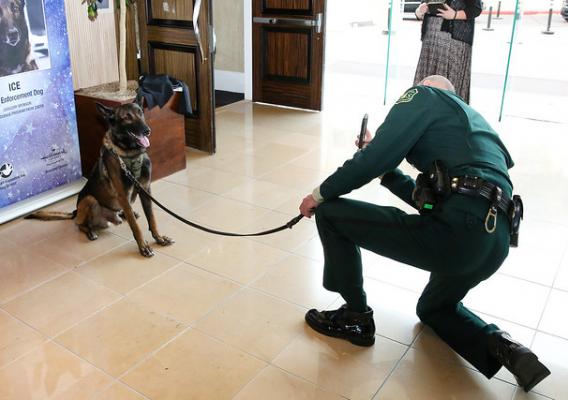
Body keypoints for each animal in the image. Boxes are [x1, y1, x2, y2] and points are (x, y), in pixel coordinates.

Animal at [27, 100, 173, 256]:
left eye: (140, 113)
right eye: (127, 117)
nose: (147, 130)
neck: (131, 154)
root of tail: (75, 212)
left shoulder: (145, 190)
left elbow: (152, 219)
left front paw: (159, 238)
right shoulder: (123, 196)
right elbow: (135, 226)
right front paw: (143, 247)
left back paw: (124, 214)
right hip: (89, 200)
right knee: (79, 224)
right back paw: (90, 231)